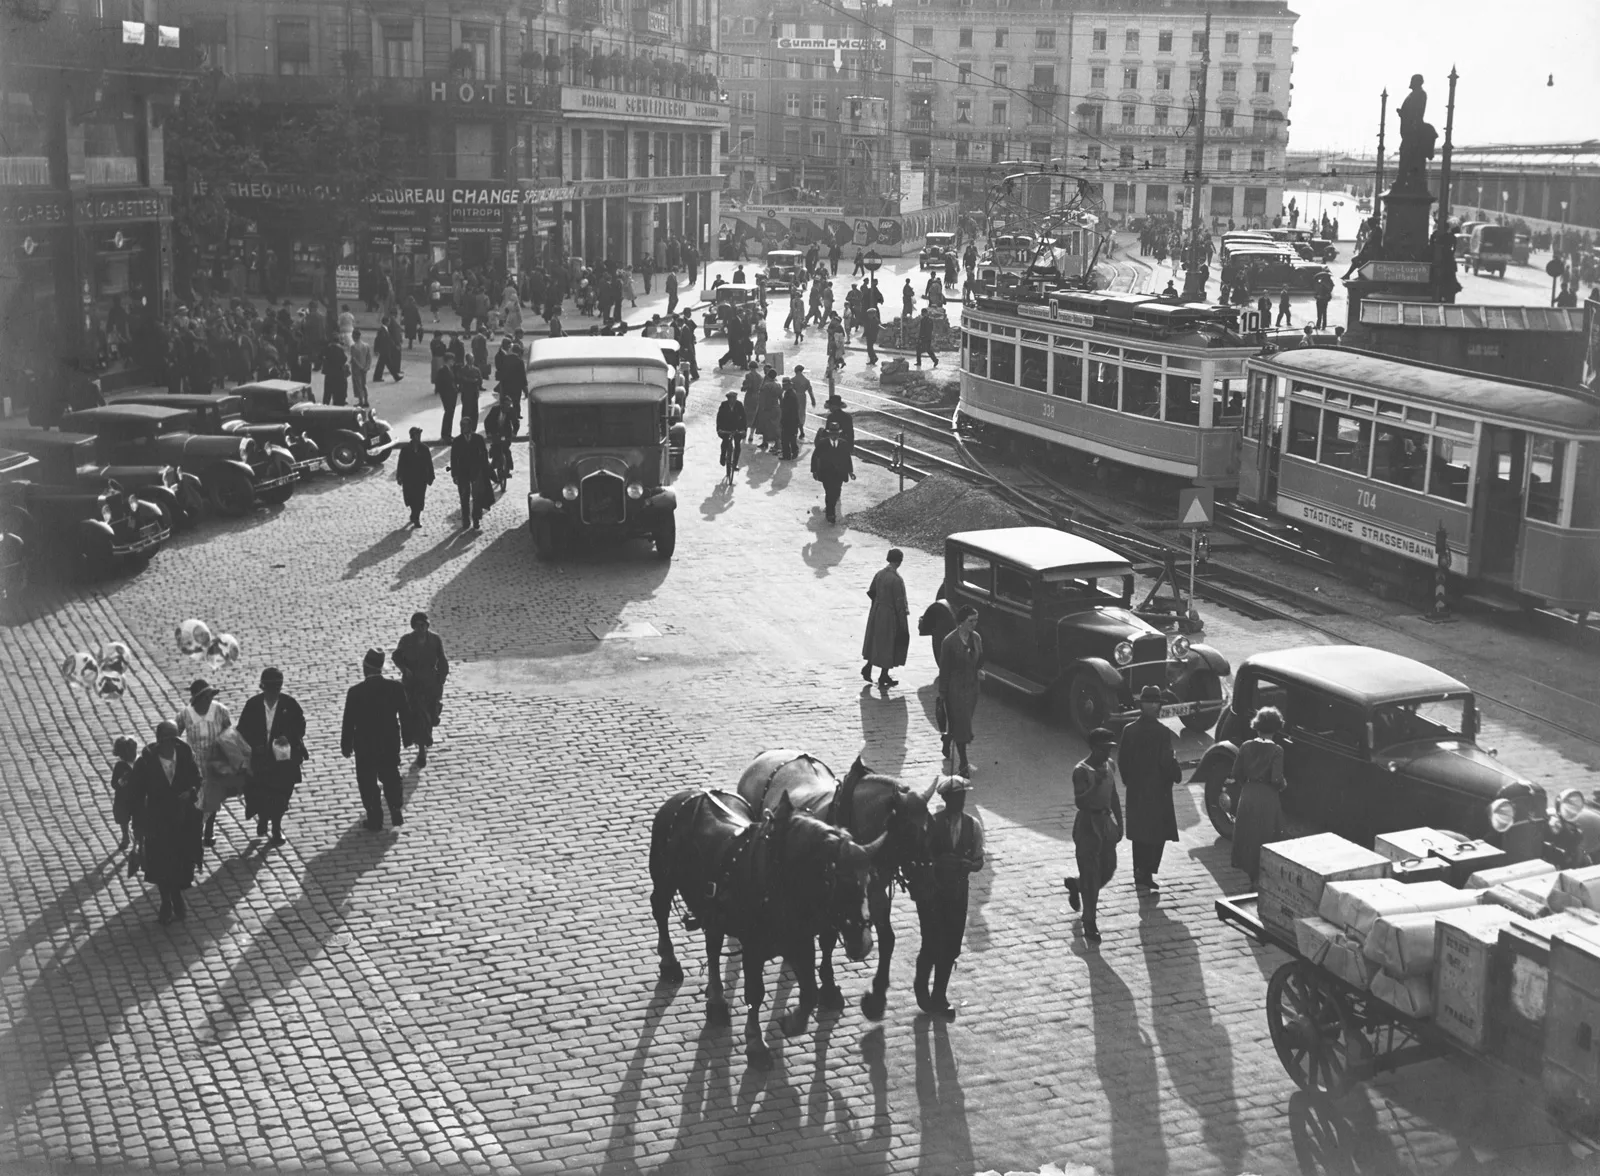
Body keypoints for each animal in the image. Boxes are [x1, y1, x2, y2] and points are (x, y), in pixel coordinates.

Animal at [646, 787, 883, 1068]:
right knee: (660, 910)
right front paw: (756, 1044)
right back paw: (669, 963)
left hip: (712, 913)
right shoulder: (753, 949)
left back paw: (716, 1001)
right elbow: (755, 994)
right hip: (664, 881)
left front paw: (791, 1023)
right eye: (834, 884)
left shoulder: (800, 943)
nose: (862, 943)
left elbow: (810, 993)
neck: (781, 882)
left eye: (868, 880)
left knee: (712, 947)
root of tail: (686, 795)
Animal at [736, 755, 934, 1024]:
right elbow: (828, 940)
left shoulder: (875, 895)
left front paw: (876, 996)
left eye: (929, 828)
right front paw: (829, 988)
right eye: (908, 832)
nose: (927, 883)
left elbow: (888, 939)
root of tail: (764, 756)